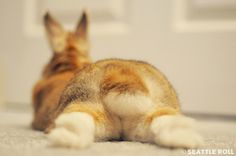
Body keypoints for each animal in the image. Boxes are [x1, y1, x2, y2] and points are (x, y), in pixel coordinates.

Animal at [31, 11, 203, 149]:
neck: (70, 63)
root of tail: (119, 73)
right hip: (152, 113)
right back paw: (185, 140)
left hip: (79, 102)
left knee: (75, 123)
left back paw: (63, 141)